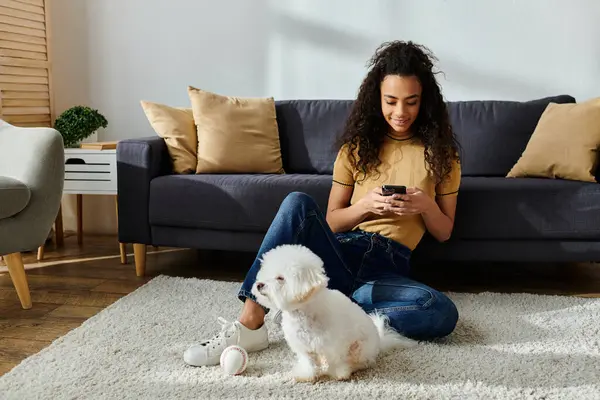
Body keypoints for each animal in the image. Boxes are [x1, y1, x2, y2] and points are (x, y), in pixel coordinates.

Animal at [251, 244, 414, 382]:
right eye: (264, 273)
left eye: (280, 278)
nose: (259, 285)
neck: (304, 312)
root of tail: (380, 342)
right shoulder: (303, 346)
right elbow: (308, 361)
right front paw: (306, 375)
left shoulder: (334, 344)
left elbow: (337, 360)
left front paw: (339, 373)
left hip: (360, 348)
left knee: (362, 361)